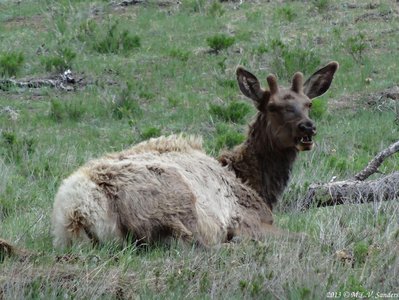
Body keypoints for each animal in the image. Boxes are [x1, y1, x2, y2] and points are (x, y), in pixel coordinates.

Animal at [52, 61, 340, 248]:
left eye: (308, 104)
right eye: (272, 107)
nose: (307, 127)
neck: (255, 184)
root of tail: (79, 210)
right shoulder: (250, 219)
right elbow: (304, 237)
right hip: (174, 203)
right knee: (195, 245)